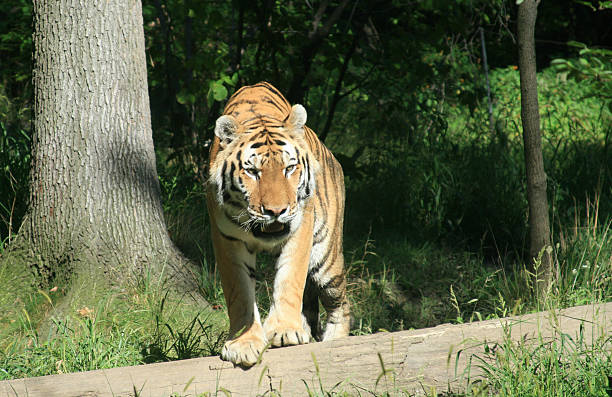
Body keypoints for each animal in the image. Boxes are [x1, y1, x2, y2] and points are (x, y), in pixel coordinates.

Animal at [206, 80, 350, 366]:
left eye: (289, 168)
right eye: (252, 172)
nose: (276, 211)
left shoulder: (300, 227)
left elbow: (290, 278)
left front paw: (285, 331)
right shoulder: (227, 239)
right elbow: (239, 293)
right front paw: (243, 343)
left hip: (327, 258)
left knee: (341, 303)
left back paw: (334, 342)